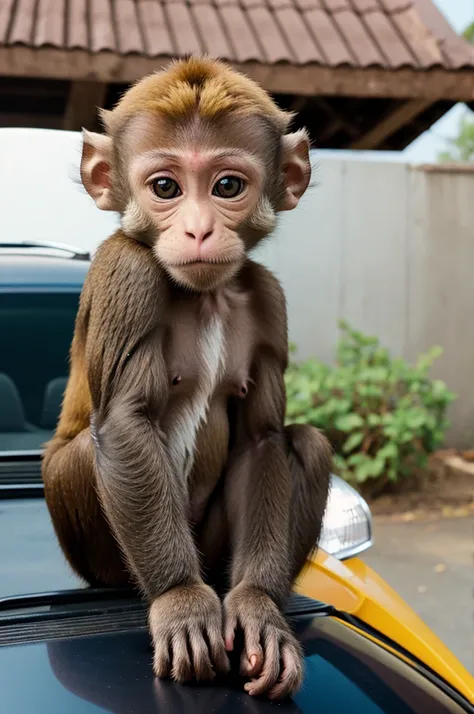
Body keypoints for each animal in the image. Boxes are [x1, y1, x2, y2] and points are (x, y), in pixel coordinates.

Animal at [42, 57, 332, 700]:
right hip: (103, 557)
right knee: (87, 452)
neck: (205, 295)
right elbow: (125, 421)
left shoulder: (267, 299)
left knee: (306, 441)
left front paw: (257, 608)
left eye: (226, 187)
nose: (198, 230)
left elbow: (261, 440)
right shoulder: (125, 272)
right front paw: (179, 600)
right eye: (166, 188)